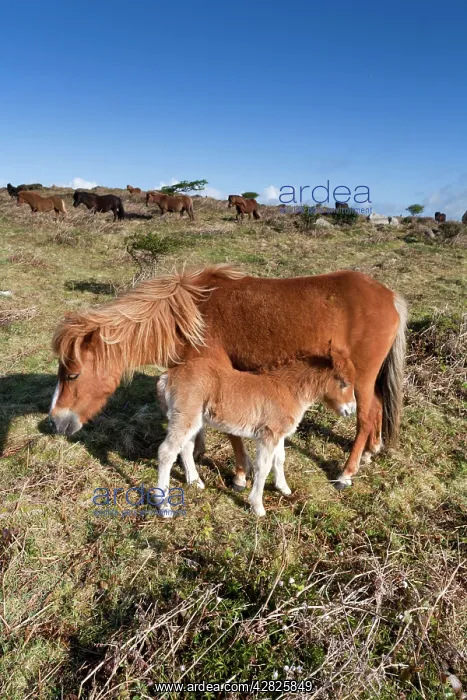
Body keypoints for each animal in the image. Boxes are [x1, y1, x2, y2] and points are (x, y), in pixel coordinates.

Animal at [49, 265, 407, 493]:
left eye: (73, 374)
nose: (56, 422)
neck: (189, 315)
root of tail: (390, 296)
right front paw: (200, 456)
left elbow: (233, 433)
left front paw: (239, 475)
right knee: (376, 410)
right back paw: (372, 450)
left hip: (359, 380)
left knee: (365, 417)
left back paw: (347, 473)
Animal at [156, 348, 356, 516]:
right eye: (344, 383)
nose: (351, 410)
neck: (289, 390)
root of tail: (168, 376)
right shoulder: (268, 435)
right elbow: (263, 467)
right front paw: (257, 506)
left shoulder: (278, 434)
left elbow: (279, 459)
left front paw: (283, 488)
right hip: (185, 416)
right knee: (167, 452)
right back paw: (164, 506)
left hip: (193, 420)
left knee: (185, 448)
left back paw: (195, 482)